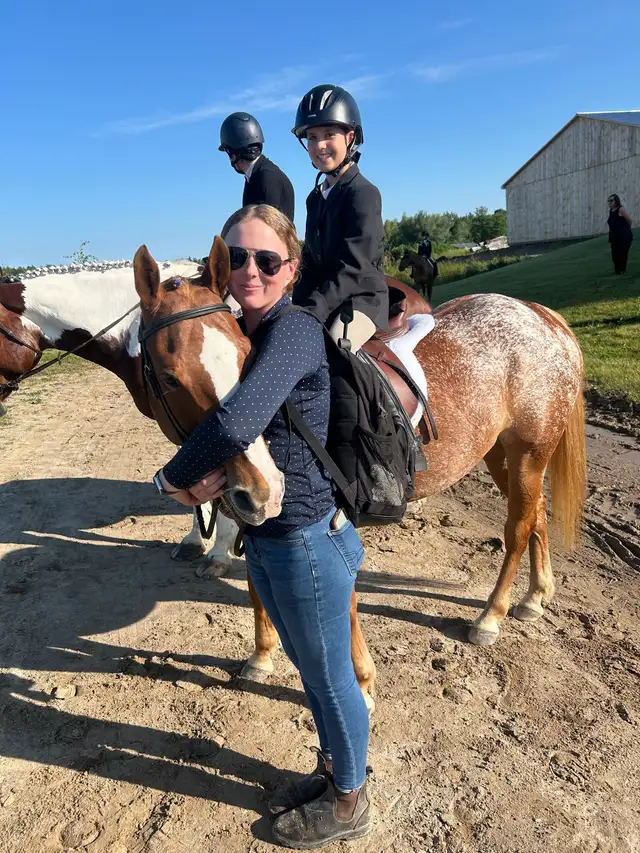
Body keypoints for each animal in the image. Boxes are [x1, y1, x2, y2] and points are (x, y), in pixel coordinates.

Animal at [133, 238, 587, 708]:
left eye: (247, 360)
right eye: (170, 378)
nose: (262, 489)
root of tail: (536, 313)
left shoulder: (330, 518)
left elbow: (342, 601)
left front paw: (362, 682)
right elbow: (260, 585)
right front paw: (261, 656)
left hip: (529, 453)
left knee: (518, 528)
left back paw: (490, 616)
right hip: (503, 455)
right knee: (535, 514)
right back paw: (535, 596)